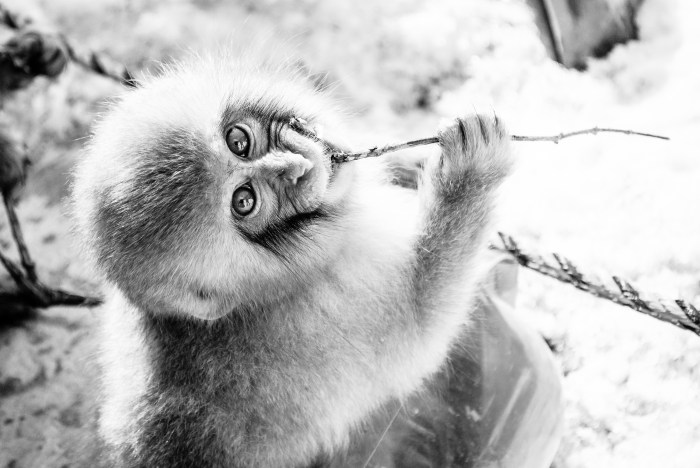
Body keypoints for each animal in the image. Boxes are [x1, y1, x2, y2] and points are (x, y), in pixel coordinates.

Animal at [71, 50, 513, 468]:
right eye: (244, 201)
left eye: (238, 141)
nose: (295, 167)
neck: (276, 290)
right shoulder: (322, 317)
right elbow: (421, 336)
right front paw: (469, 176)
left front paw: (404, 158)